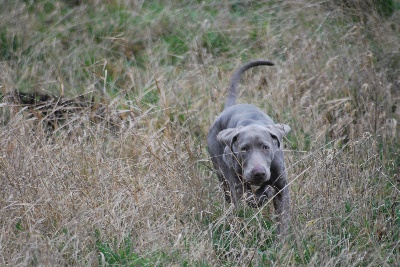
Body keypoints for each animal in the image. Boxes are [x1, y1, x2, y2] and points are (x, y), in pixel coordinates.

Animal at [209, 60, 290, 234]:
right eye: (244, 149)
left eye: (266, 147)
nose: (258, 173)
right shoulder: (233, 171)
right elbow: (247, 196)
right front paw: (260, 196)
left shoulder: (281, 185)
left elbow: (282, 218)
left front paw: (284, 239)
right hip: (221, 171)